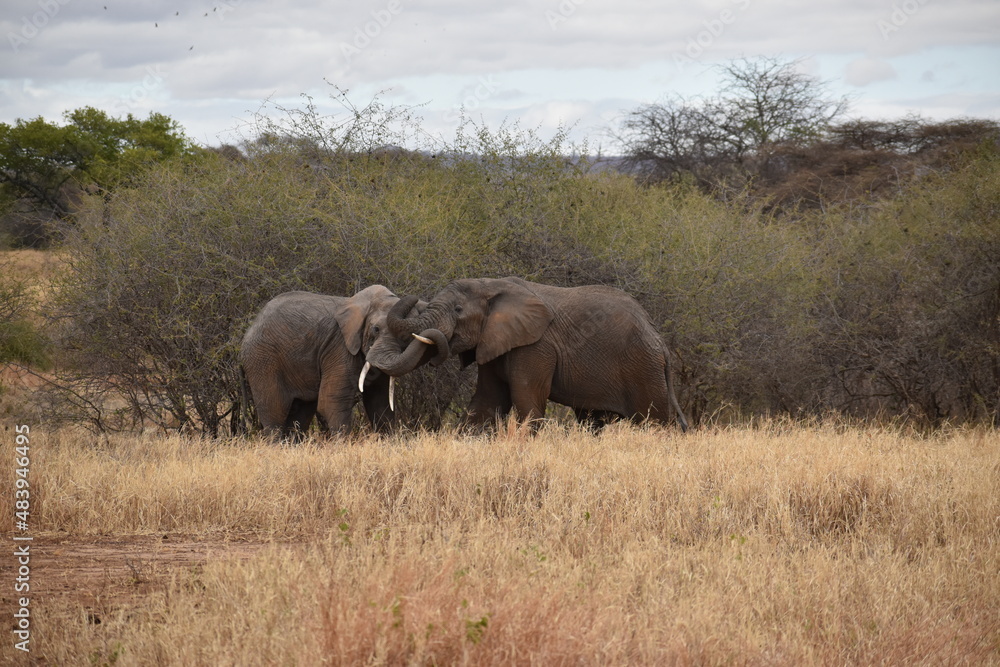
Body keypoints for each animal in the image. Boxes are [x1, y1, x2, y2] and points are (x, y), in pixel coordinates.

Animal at [236, 286, 440, 438]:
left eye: (406, 339)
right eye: (375, 329)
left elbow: (380, 404)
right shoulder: (339, 346)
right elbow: (331, 401)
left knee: (300, 415)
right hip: (262, 360)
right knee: (275, 414)